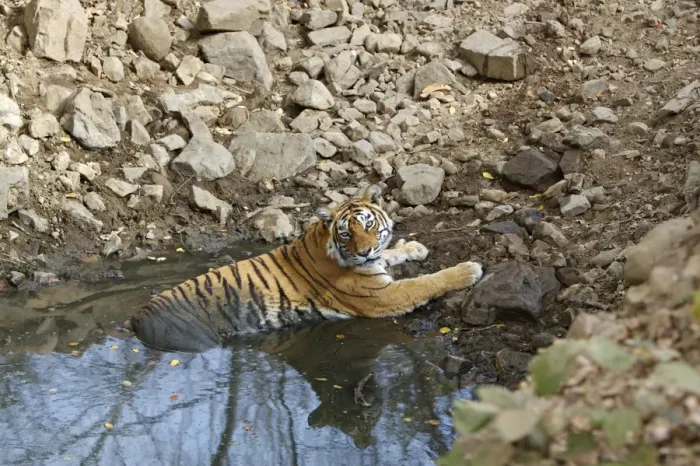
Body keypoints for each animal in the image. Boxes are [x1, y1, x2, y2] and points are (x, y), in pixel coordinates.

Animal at [123, 184, 484, 352]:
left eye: (368, 224)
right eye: (346, 233)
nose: (364, 251)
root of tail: (135, 318)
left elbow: (392, 254)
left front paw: (414, 247)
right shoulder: (382, 296)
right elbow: (427, 282)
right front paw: (468, 269)